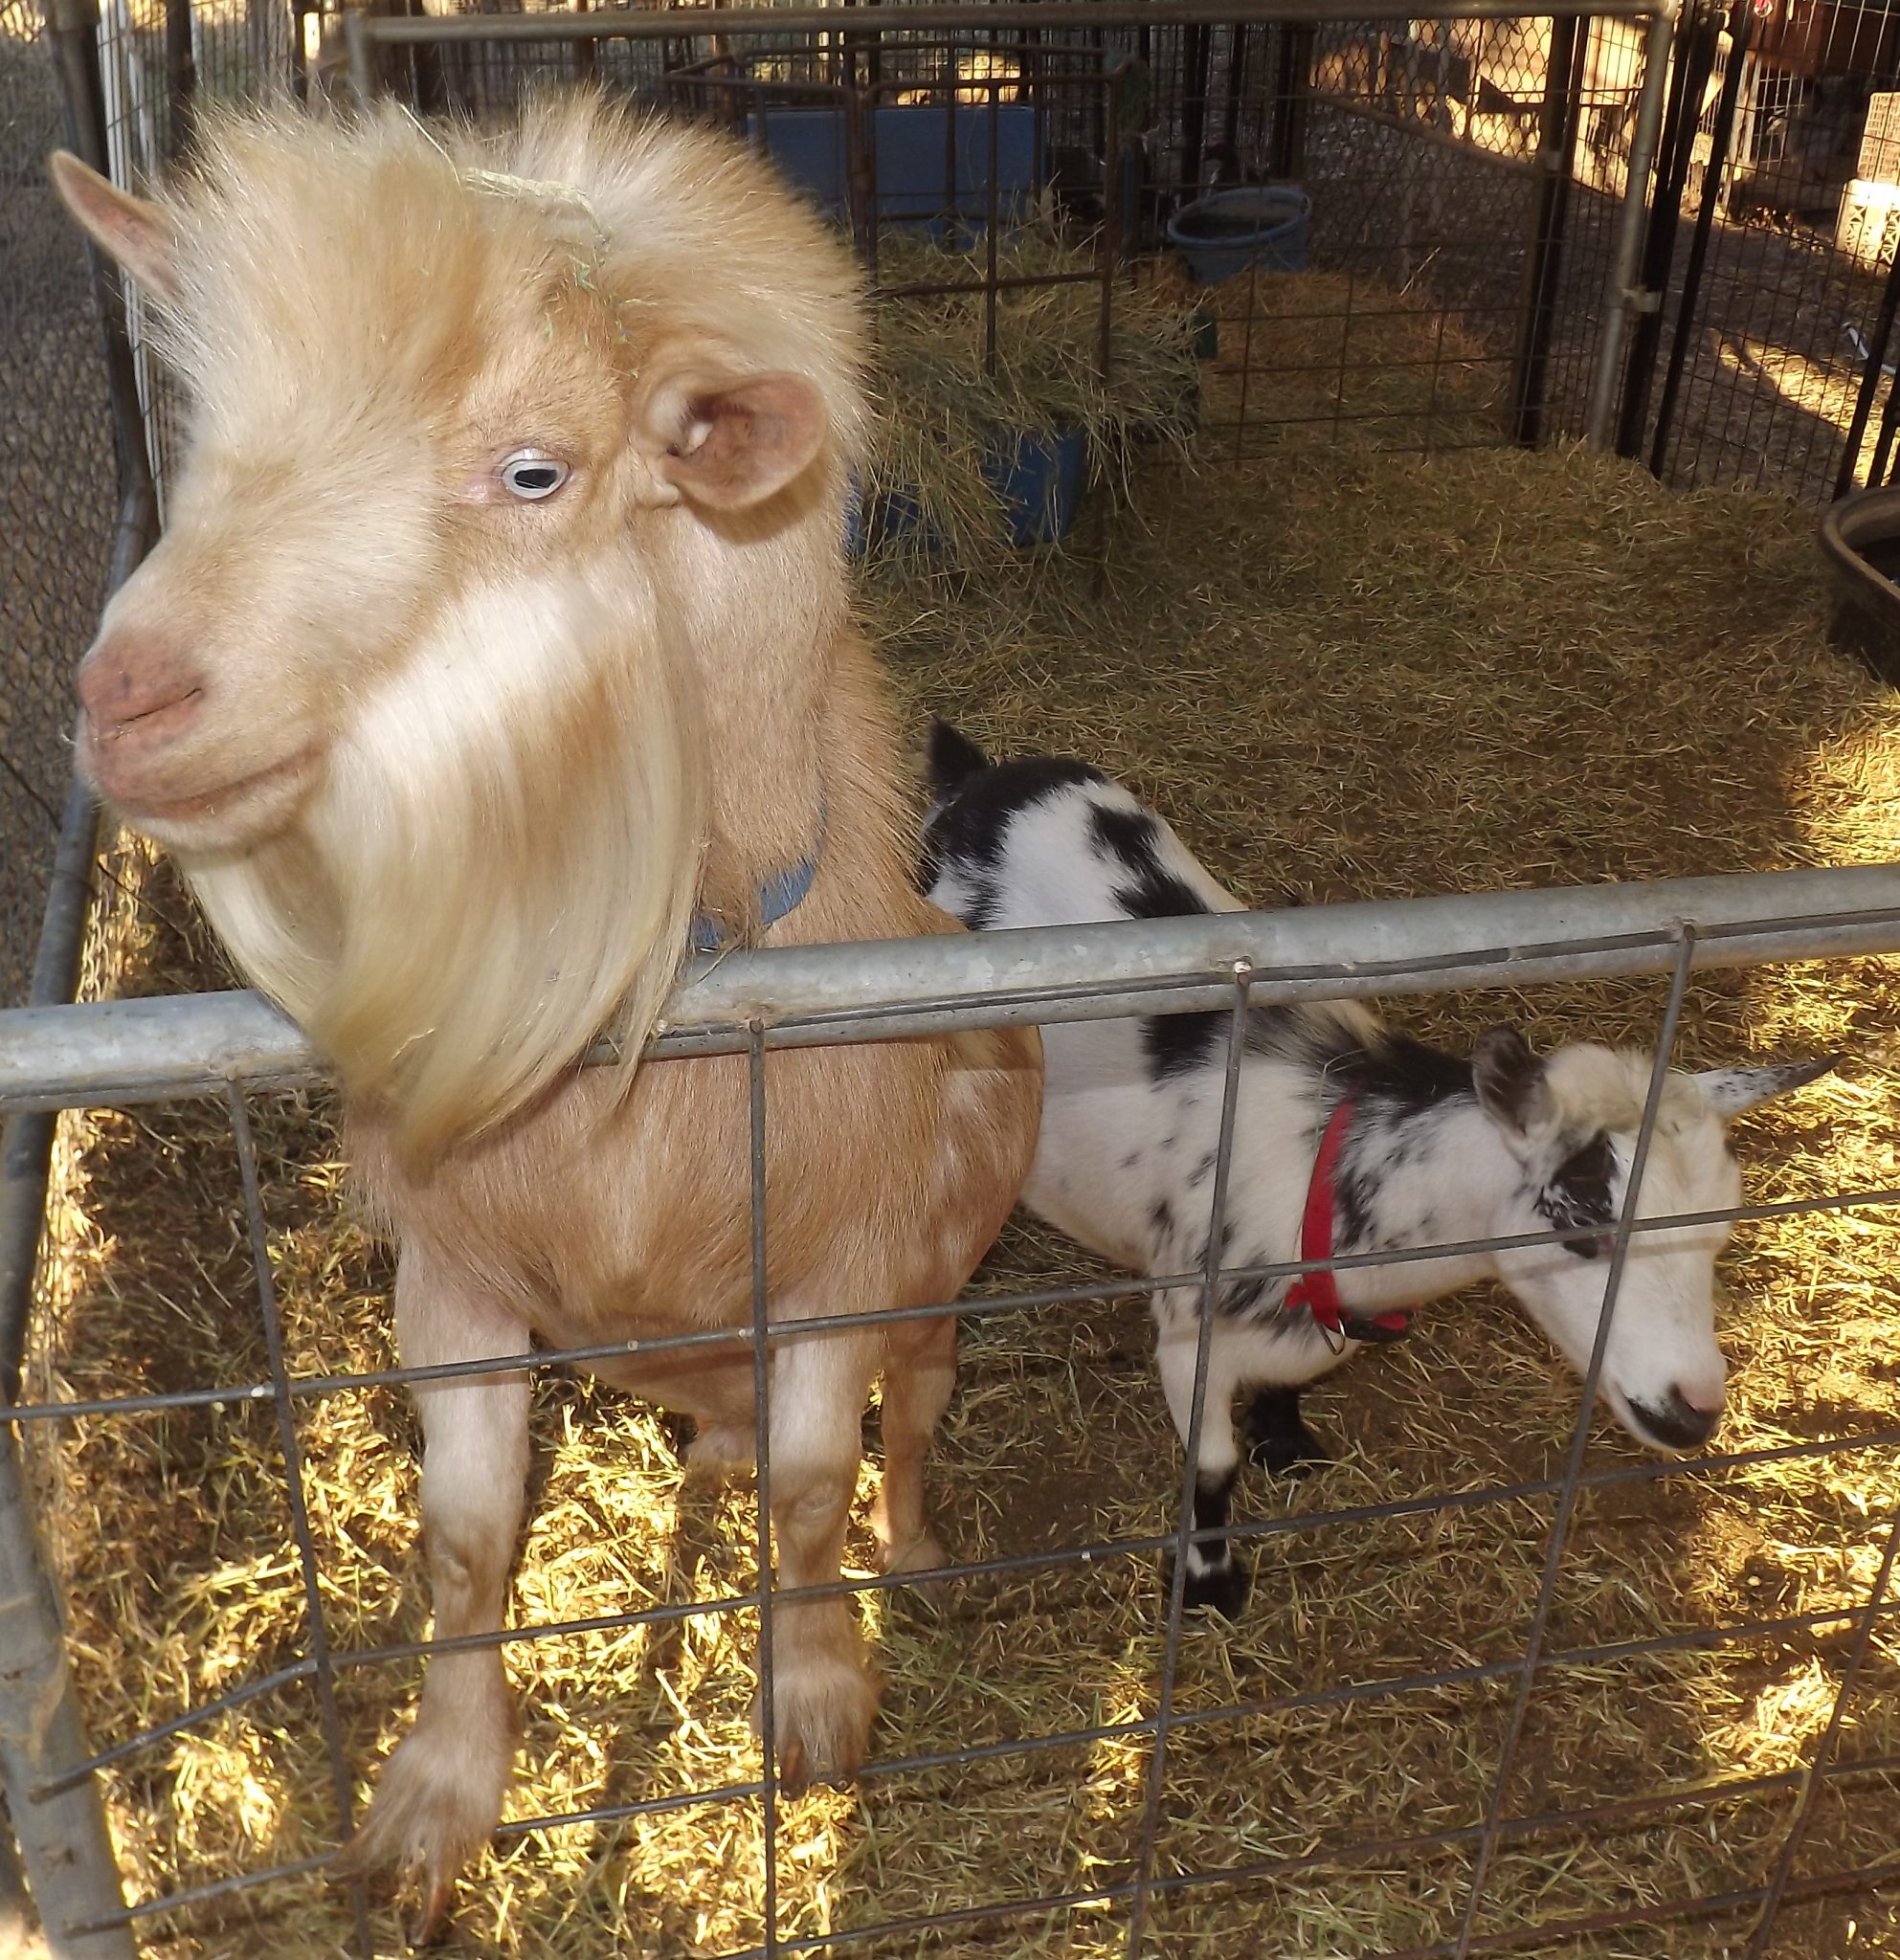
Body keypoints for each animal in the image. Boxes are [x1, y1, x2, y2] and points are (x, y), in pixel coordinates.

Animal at [50, 99, 1042, 1937]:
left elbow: (816, 1493)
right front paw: (436, 1798)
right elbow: (465, 1537)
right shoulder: (454, 1278)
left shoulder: (838, 1265)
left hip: (942, 1268)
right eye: (205, 423)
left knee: (917, 1414)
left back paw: (921, 1553)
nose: (126, 694)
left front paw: (819, 1696)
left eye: (535, 472)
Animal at [921, 722, 1835, 1617]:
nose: (1691, 1411)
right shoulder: (1186, 1328)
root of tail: (979, 777)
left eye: (1718, 1234)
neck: (1324, 1171)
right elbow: (1209, 1469)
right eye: (1579, 1223)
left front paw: (1285, 1441)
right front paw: (1209, 1587)